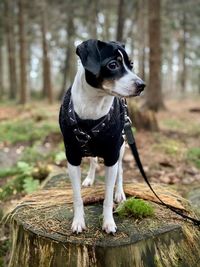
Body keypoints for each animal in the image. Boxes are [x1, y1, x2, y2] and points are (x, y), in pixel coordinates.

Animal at [59, 39, 145, 234]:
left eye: (131, 64)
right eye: (113, 65)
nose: (142, 85)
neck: (93, 106)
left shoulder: (112, 154)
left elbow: (107, 196)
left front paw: (108, 222)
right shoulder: (72, 156)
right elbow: (77, 196)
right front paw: (78, 221)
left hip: (121, 146)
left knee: (120, 170)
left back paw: (119, 193)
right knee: (93, 161)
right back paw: (89, 179)